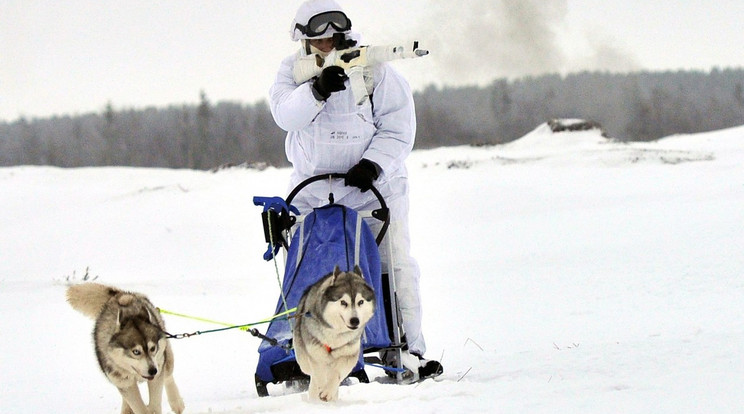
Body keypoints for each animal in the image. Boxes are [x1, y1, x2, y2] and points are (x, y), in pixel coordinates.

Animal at [67, 284, 185, 412]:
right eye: (136, 351)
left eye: (153, 348)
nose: (153, 370)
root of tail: (121, 295)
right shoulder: (125, 383)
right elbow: (139, 407)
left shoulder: (157, 375)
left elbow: (154, 405)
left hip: (165, 359)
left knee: (168, 377)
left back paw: (177, 403)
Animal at [292, 266, 374, 402]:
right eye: (343, 302)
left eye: (361, 302)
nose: (355, 320)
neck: (335, 335)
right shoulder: (316, 354)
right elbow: (319, 376)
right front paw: (321, 390)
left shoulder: (348, 355)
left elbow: (336, 374)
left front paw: (328, 392)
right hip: (303, 360)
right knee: (314, 376)